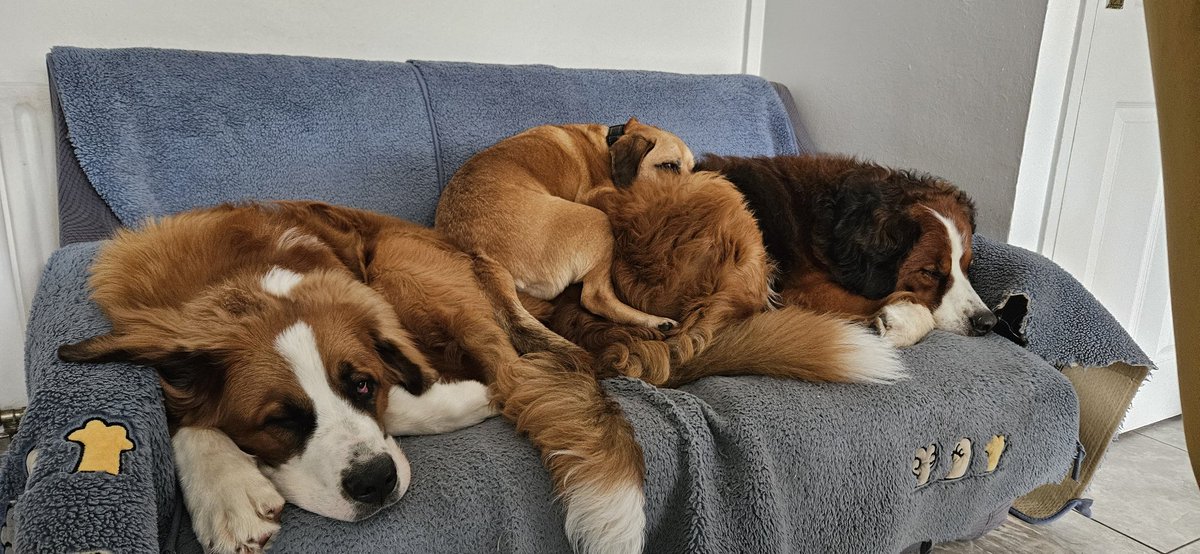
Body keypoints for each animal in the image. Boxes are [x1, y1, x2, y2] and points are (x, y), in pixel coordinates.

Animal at [57, 201, 652, 554]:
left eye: (362, 385)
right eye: (279, 420)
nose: (376, 482)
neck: (242, 283)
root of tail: (476, 257)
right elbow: (185, 414)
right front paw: (226, 490)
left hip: (397, 264)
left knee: (511, 373)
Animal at [434, 117, 696, 333]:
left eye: (693, 169)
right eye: (669, 166)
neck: (610, 144)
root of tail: (479, 254)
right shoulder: (596, 194)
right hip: (597, 221)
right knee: (595, 298)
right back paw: (654, 320)